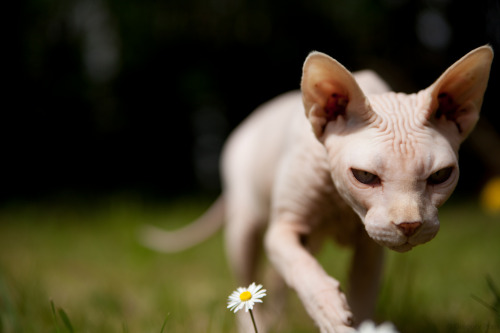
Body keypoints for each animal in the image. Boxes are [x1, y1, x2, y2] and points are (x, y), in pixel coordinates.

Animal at [141, 45, 492, 330]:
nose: (409, 226)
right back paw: (260, 324)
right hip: (246, 224)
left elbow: (362, 297)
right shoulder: (283, 229)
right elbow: (303, 271)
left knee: (275, 280)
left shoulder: (370, 250)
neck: (342, 204)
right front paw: (330, 312)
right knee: (248, 286)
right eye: (364, 176)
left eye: (440, 175)